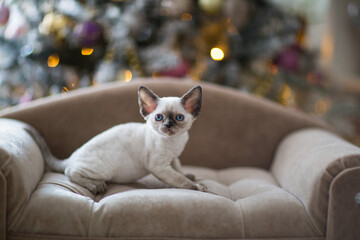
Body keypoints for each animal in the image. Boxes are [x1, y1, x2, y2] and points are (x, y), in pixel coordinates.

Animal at [40, 85, 205, 194]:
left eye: (179, 118)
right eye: (159, 117)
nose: (168, 125)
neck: (174, 141)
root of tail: (72, 155)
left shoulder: (174, 158)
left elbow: (179, 170)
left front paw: (189, 175)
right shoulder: (159, 166)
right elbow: (179, 179)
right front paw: (196, 186)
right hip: (103, 169)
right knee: (70, 171)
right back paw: (95, 185)